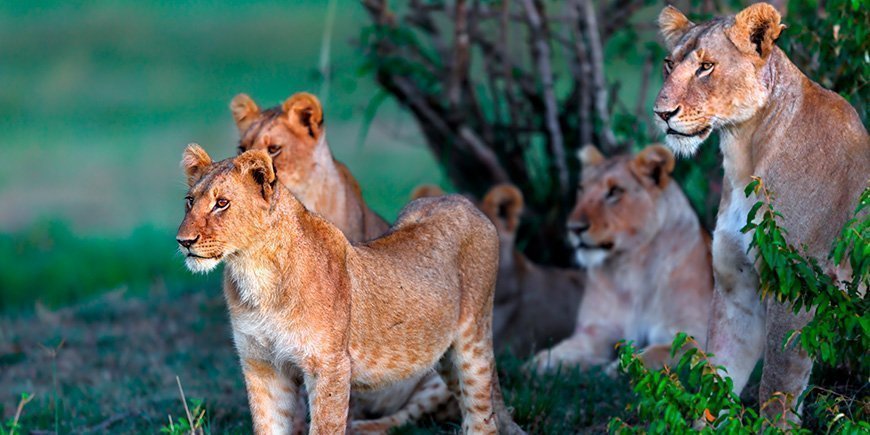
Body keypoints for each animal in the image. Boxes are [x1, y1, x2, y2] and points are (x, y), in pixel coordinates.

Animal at [176, 145, 522, 434]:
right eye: (190, 201)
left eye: (222, 203)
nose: (183, 241)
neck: (255, 272)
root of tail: (462, 201)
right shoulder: (262, 366)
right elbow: (267, 426)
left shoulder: (330, 367)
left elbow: (325, 427)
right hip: (444, 356)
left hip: (473, 339)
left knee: (483, 416)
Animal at [531, 145, 713, 374]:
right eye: (581, 189)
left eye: (614, 191)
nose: (574, 228)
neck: (630, 269)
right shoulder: (598, 329)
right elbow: (564, 349)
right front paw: (539, 363)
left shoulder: (695, 335)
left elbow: (654, 354)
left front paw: (614, 370)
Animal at [654, 3, 869, 425]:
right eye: (669, 64)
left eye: (706, 67)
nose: (661, 112)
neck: (742, 151)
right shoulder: (737, 286)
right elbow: (716, 377)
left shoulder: (800, 284)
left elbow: (777, 385)